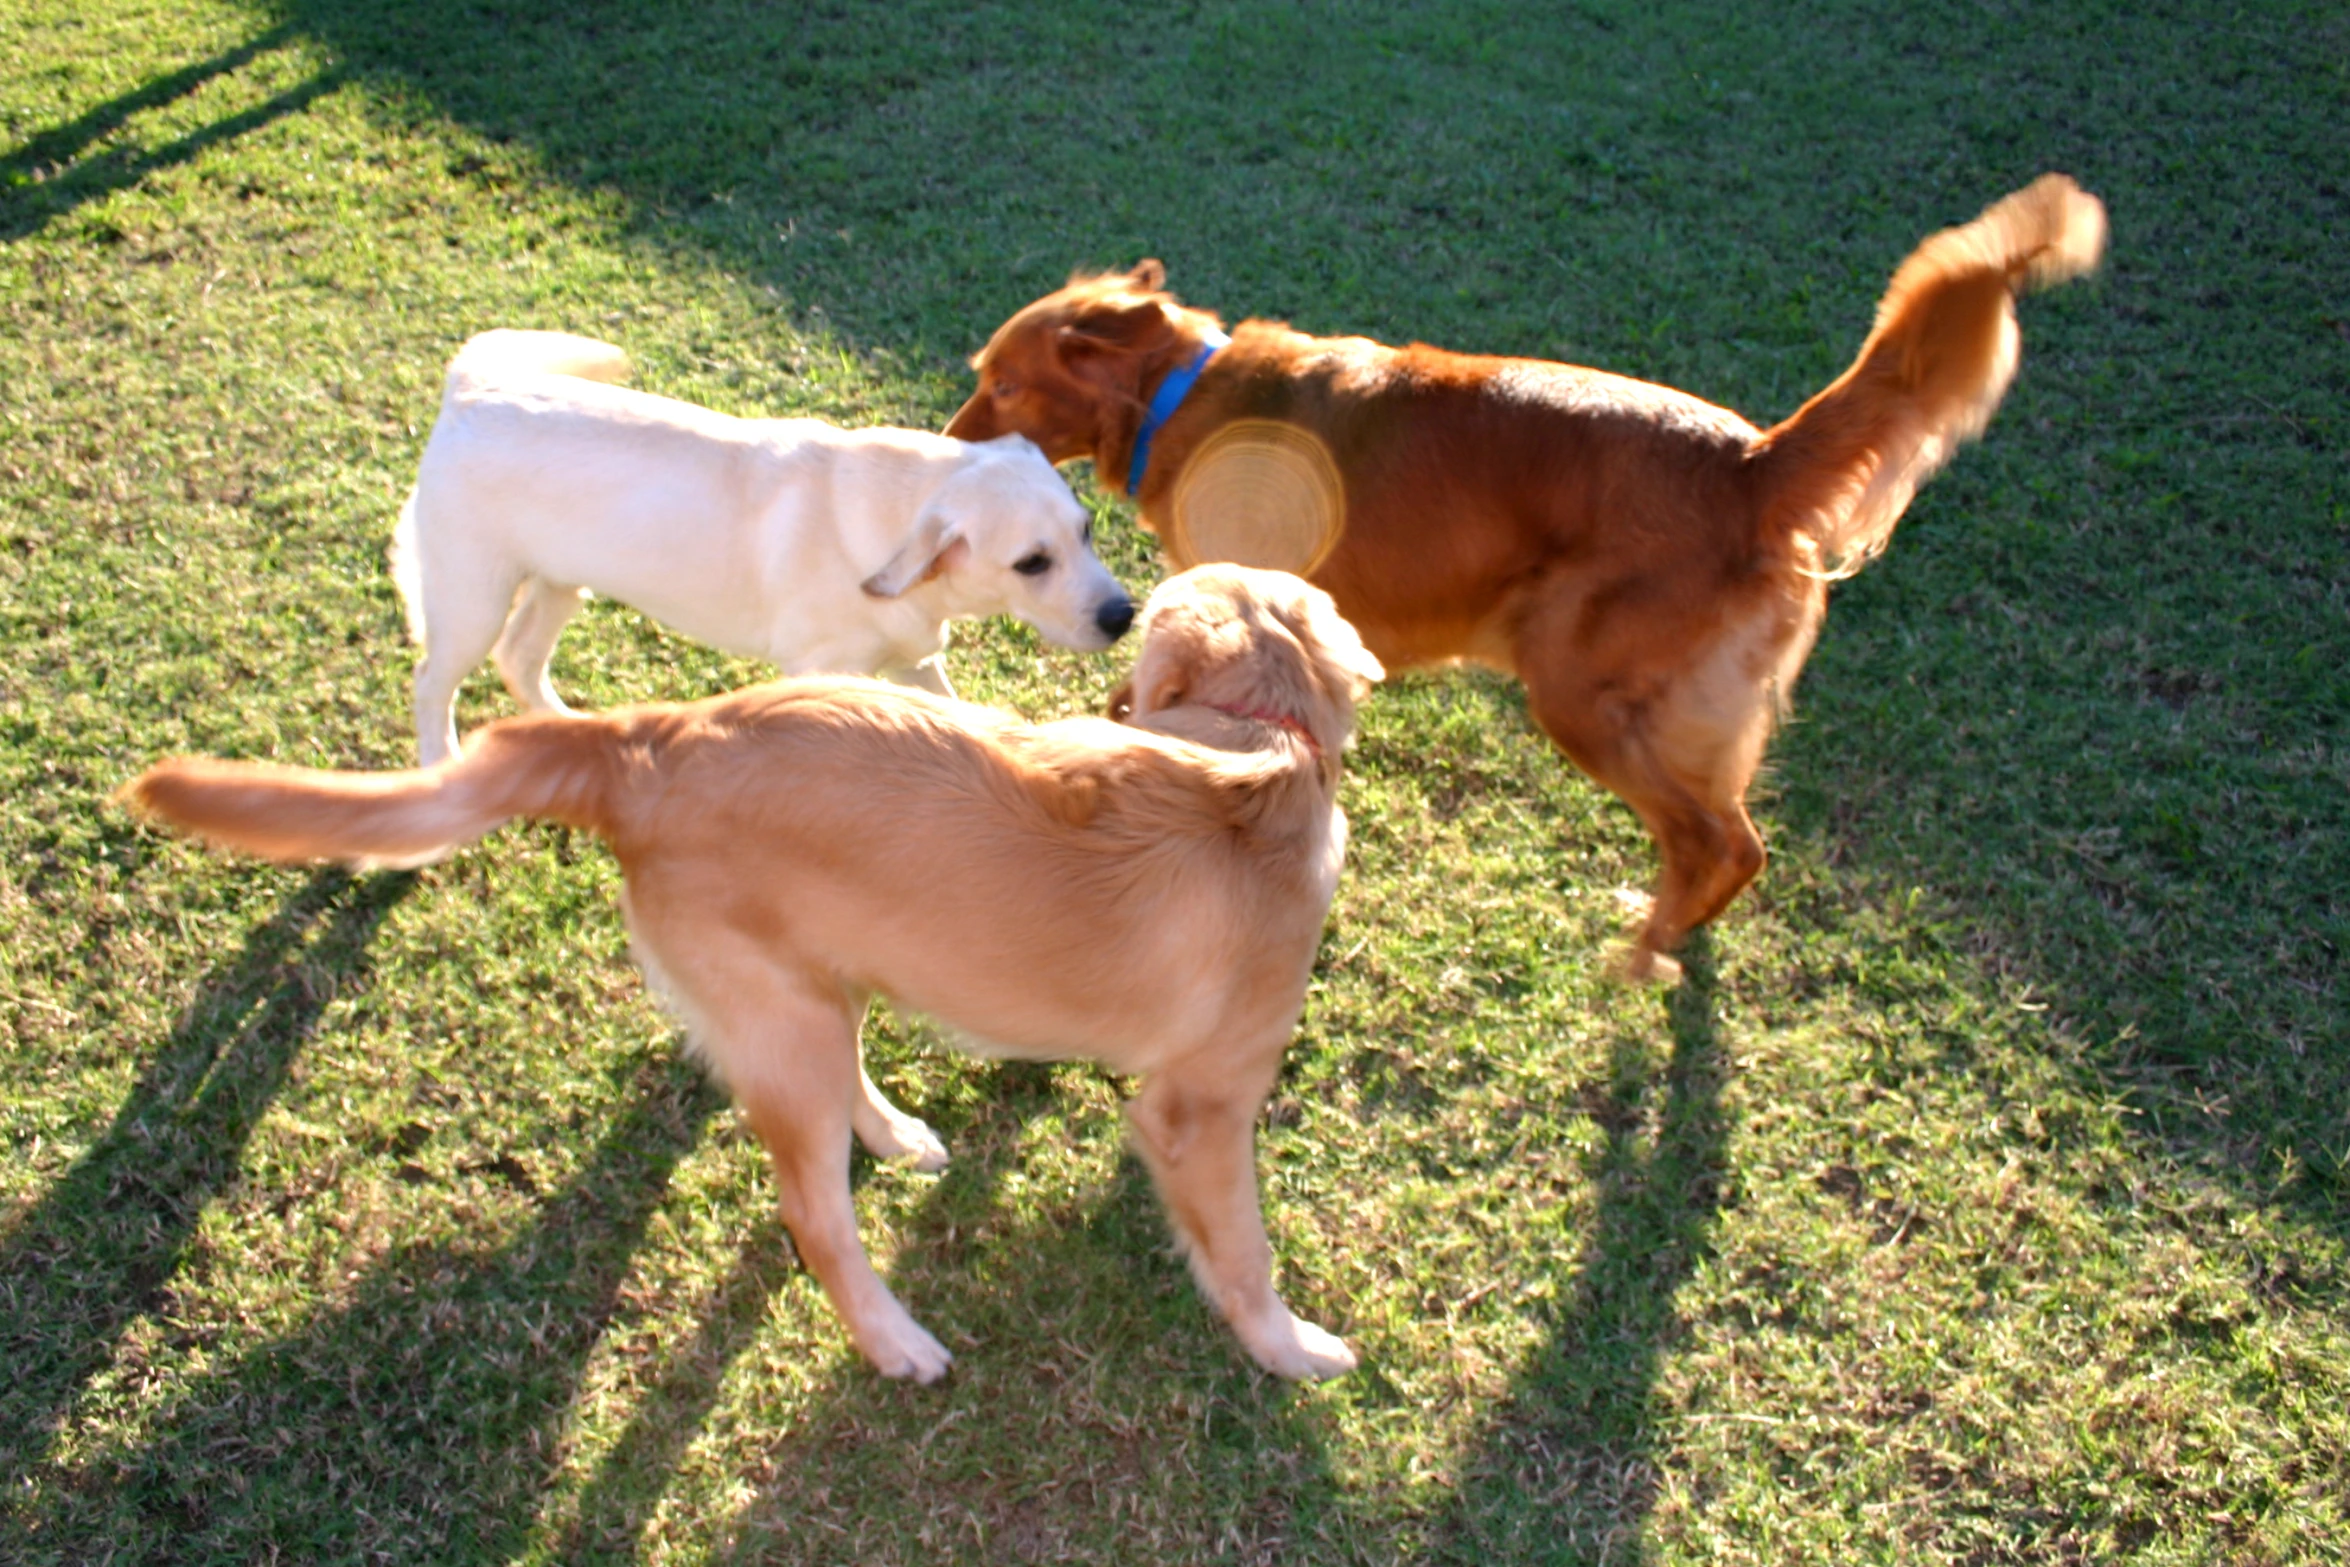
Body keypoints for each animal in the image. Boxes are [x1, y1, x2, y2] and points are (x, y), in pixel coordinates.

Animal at [390, 333, 1132, 765]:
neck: (897, 510)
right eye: (1031, 563)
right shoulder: (820, 669)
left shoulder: (913, 658)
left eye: (1086, 531)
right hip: (472, 596)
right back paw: (441, 763)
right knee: (431, 680)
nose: (1123, 616)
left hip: (558, 581)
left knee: (519, 659)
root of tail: (469, 389)